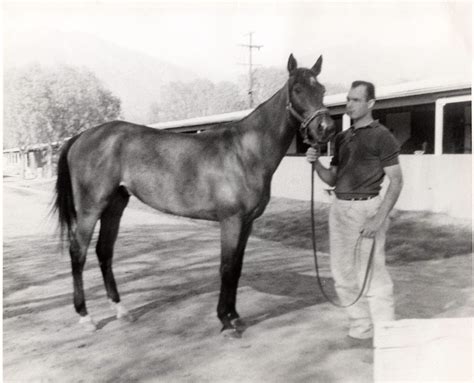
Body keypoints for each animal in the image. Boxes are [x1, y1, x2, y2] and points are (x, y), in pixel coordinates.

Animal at [53, 53, 336, 336]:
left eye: (322, 90)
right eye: (297, 89)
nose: (326, 128)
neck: (245, 152)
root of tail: (82, 136)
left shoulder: (247, 223)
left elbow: (237, 267)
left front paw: (235, 316)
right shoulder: (231, 221)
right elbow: (226, 267)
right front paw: (225, 320)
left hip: (115, 205)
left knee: (104, 251)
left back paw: (121, 310)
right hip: (91, 208)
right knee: (78, 251)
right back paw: (86, 317)